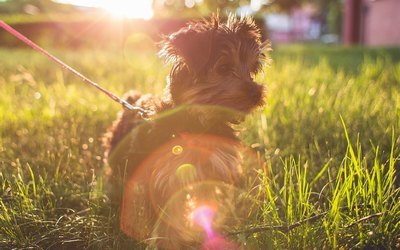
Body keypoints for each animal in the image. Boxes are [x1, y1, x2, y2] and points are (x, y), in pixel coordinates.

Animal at [104, 14, 268, 249]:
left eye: (252, 69)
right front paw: (167, 242)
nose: (256, 93)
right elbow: (167, 218)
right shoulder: (164, 177)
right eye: (223, 67)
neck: (199, 123)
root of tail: (133, 99)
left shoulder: (212, 172)